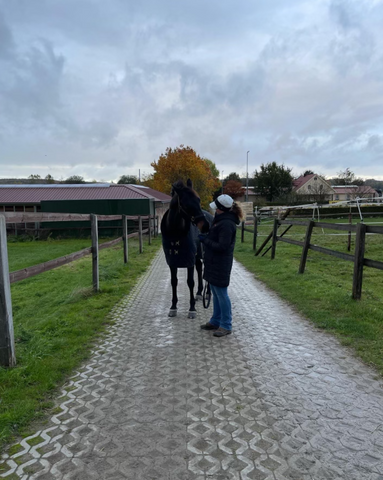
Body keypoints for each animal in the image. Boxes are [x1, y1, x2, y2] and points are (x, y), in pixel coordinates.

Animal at [161, 180, 210, 318]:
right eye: (185, 204)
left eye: (198, 199)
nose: (205, 226)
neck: (175, 233)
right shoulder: (172, 261)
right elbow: (174, 281)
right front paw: (173, 307)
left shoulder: (189, 260)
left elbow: (190, 282)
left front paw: (192, 309)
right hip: (198, 255)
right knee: (199, 268)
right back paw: (199, 293)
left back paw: (207, 294)